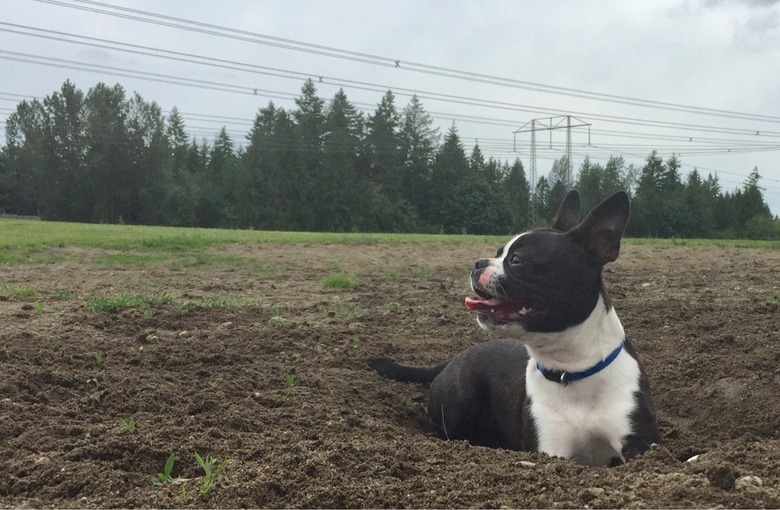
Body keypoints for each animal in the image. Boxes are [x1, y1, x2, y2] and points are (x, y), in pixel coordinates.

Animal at [370, 190, 660, 466]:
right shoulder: (550, 448)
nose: (478, 262)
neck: (571, 371)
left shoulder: (639, 445)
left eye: (517, 260)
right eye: (498, 253)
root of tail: (455, 358)